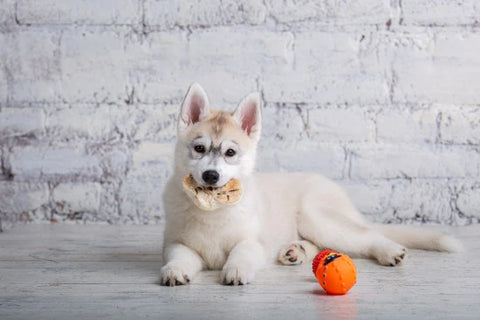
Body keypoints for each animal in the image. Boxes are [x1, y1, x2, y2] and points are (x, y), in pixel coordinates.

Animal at [159, 82, 460, 284]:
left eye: (230, 153)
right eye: (199, 148)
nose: (211, 176)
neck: (213, 207)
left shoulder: (253, 242)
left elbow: (242, 252)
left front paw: (236, 269)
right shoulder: (176, 243)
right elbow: (178, 256)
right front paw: (174, 271)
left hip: (317, 217)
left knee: (366, 237)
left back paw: (389, 251)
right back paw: (296, 251)